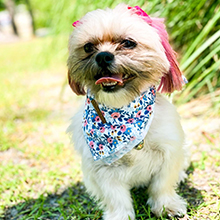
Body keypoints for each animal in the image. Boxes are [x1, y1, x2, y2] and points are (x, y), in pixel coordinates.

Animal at [66, 3, 189, 220]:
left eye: (128, 43)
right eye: (88, 47)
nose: (103, 56)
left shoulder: (169, 152)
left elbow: (162, 185)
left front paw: (166, 205)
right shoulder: (102, 169)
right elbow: (117, 199)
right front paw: (120, 215)